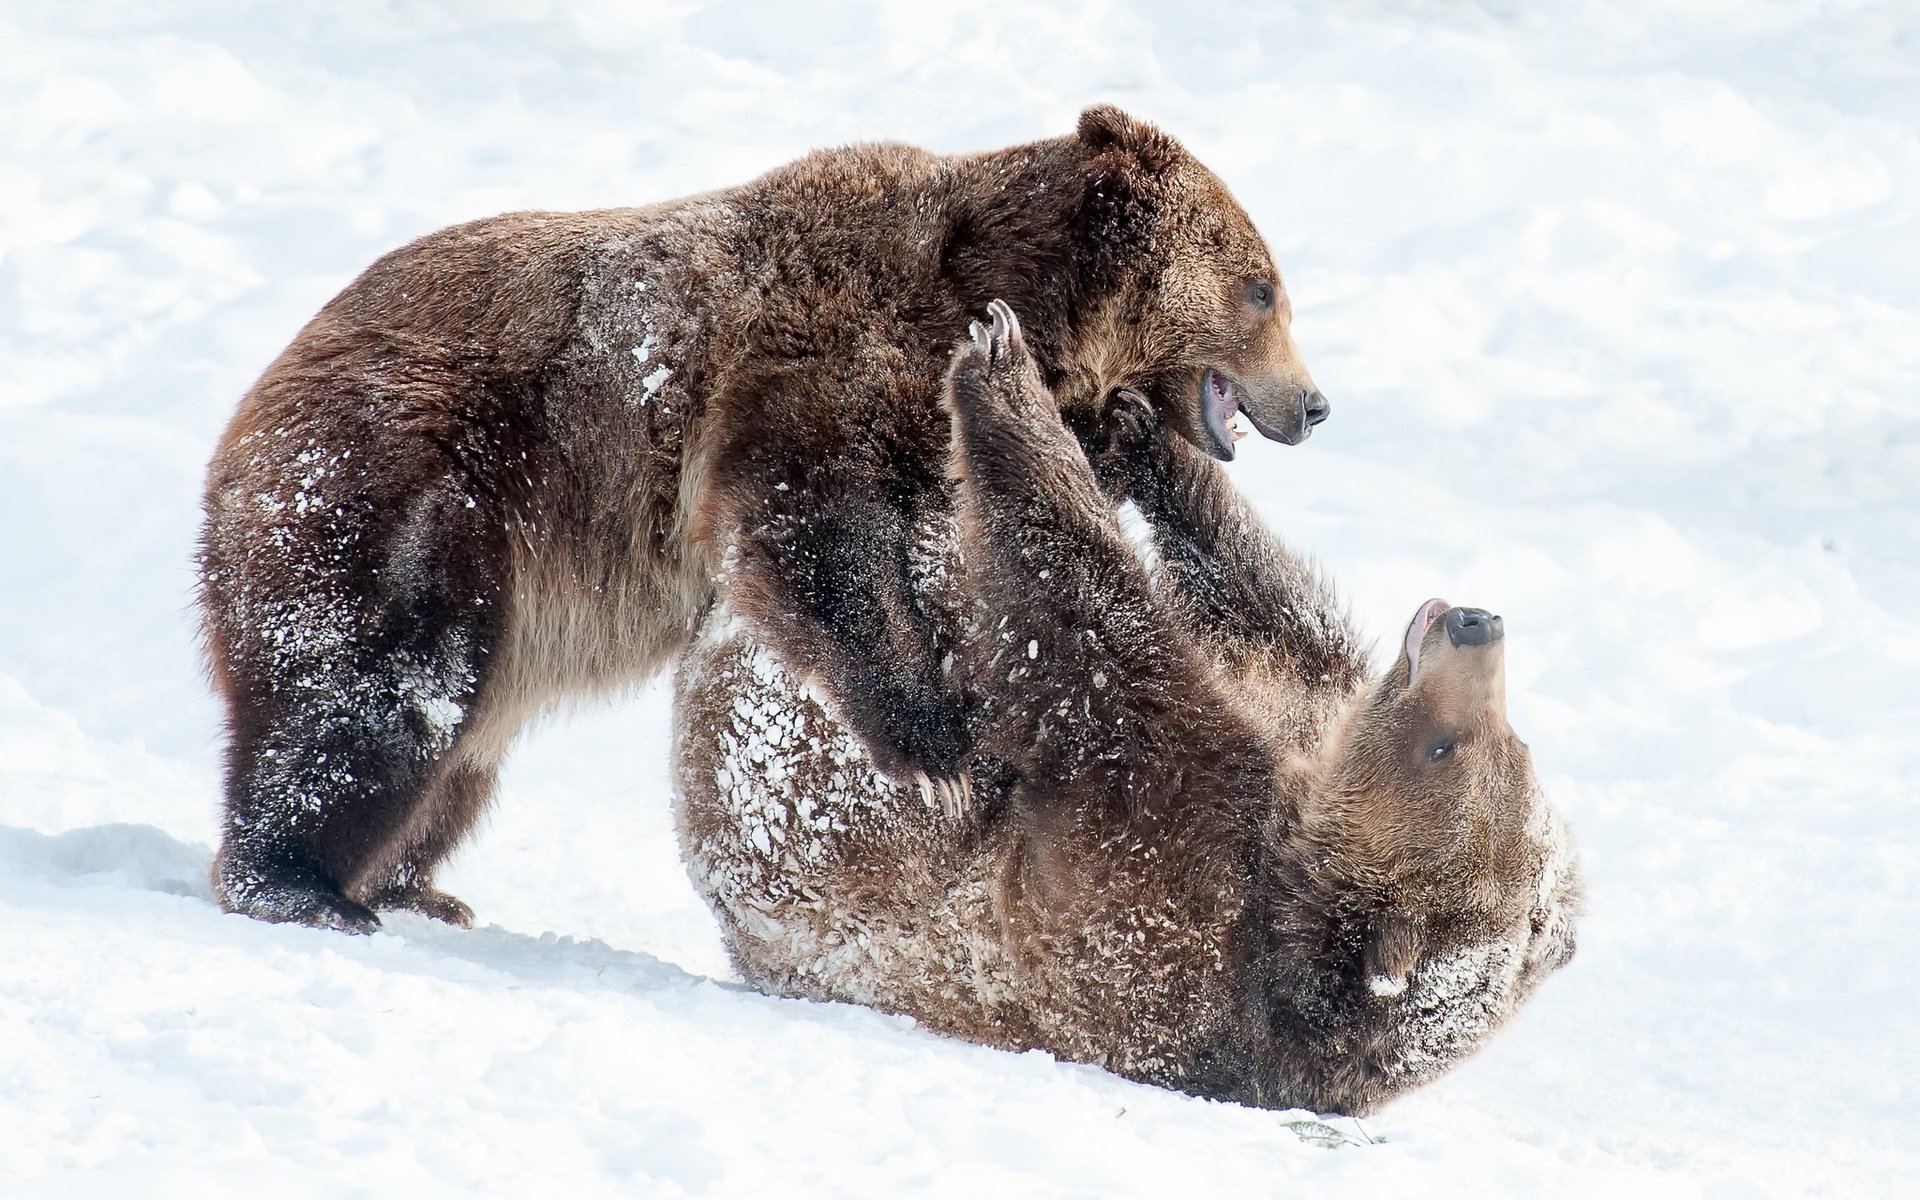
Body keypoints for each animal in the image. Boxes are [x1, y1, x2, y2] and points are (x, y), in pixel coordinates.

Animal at [202, 105, 1328, 925]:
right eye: (1262, 287)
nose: (1314, 404)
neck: (991, 292)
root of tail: (254, 398)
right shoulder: (814, 364)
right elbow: (817, 542)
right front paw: (943, 750)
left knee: (457, 749)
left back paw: (413, 884)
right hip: (417, 478)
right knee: (377, 685)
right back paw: (298, 880)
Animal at [672, 301, 1574, 1113]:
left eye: (1445, 749)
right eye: (1518, 746)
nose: (1474, 623)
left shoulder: (1162, 879)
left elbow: (1087, 630)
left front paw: (1001, 366)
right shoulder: (1293, 700)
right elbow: (1257, 592)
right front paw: (1148, 434)